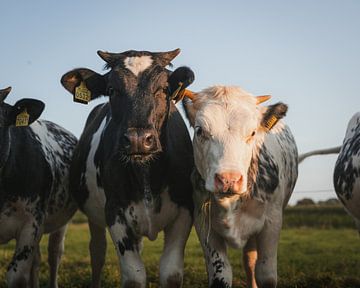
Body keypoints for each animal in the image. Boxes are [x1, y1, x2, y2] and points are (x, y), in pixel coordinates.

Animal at [60, 48, 195, 286]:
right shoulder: (114, 211)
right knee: (97, 252)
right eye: (112, 90)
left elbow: (171, 273)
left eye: (164, 89)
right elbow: (134, 276)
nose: (138, 140)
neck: (147, 176)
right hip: (94, 215)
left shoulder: (184, 209)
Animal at [183, 86, 298, 288]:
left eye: (252, 133)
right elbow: (221, 276)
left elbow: (266, 275)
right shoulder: (203, 223)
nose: (228, 179)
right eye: (199, 130)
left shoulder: (272, 221)